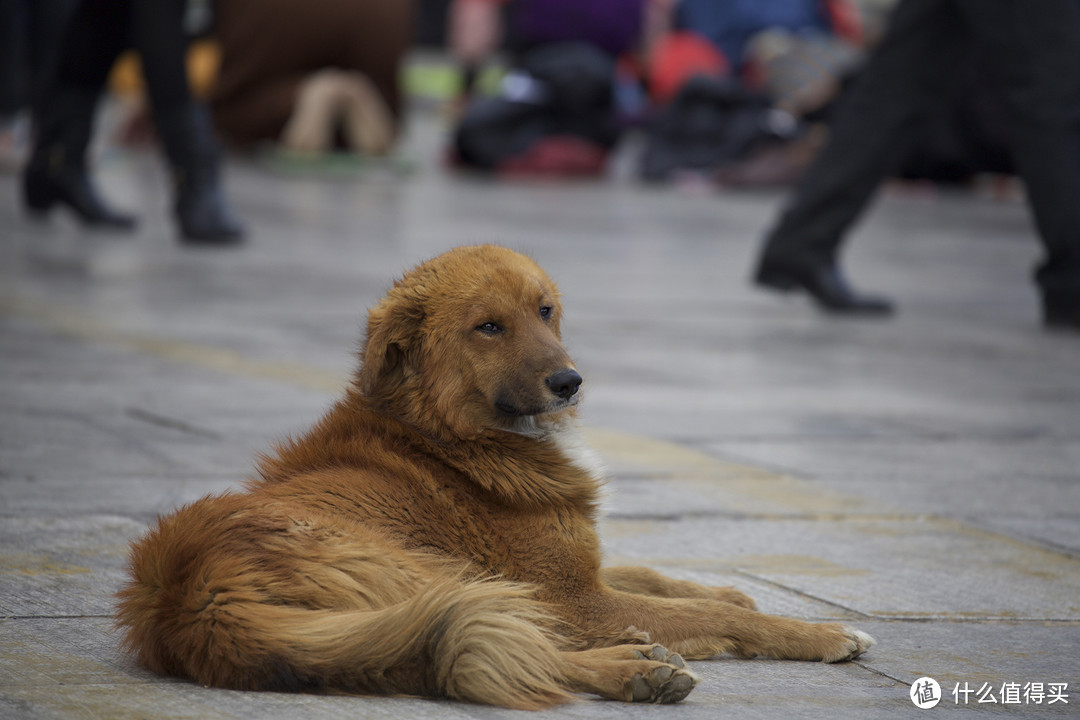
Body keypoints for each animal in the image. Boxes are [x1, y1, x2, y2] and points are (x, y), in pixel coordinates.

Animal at [118, 245, 876, 708]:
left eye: (545, 311)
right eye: (488, 327)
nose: (570, 382)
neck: (449, 435)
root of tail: (185, 596)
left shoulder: (572, 571)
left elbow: (654, 575)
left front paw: (727, 588)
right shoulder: (573, 597)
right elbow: (713, 616)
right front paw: (818, 633)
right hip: (439, 576)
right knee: (509, 649)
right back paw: (635, 669)